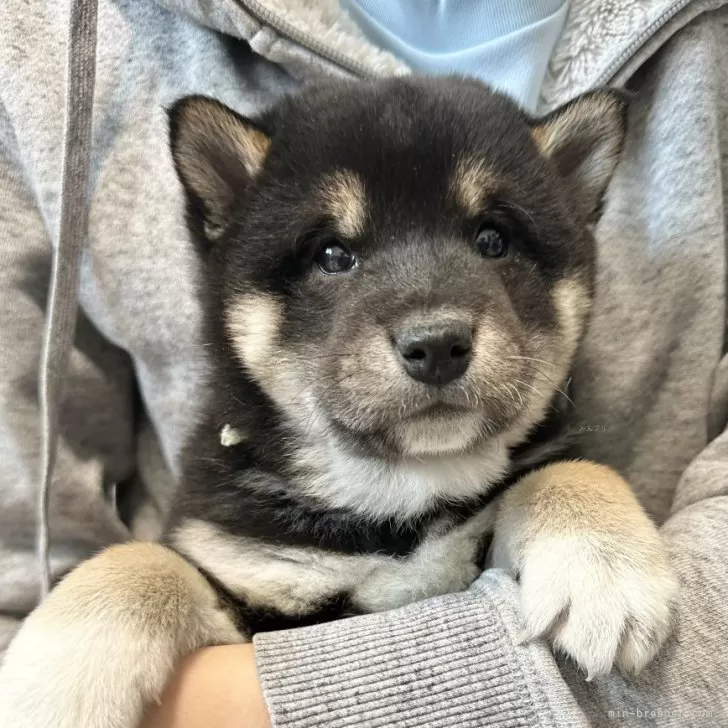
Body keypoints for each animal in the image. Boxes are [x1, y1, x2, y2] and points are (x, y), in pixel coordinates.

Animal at [0, 78, 680, 728]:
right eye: (331, 254)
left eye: (493, 239)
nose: (437, 344)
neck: (396, 502)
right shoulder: (254, 581)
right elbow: (140, 561)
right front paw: (51, 680)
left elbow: (566, 471)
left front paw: (604, 566)